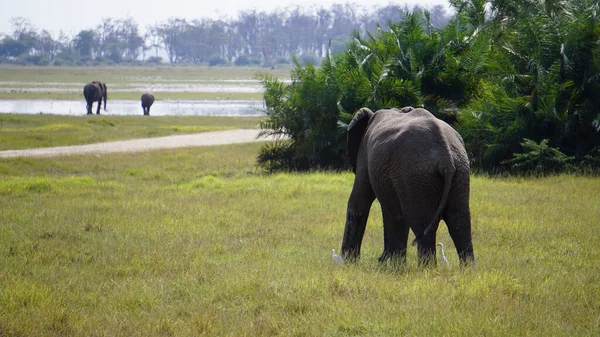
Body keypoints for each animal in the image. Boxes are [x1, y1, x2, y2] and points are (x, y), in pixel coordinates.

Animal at [342, 107, 474, 266]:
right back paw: (467, 269)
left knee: (422, 224)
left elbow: (359, 204)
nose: (380, 259)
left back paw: (427, 269)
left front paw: (347, 262)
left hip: (416, 174)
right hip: (458, 172)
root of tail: (446, 158)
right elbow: (396, 214)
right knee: (459, 223)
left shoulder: (364, 154)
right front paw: (394, 266)